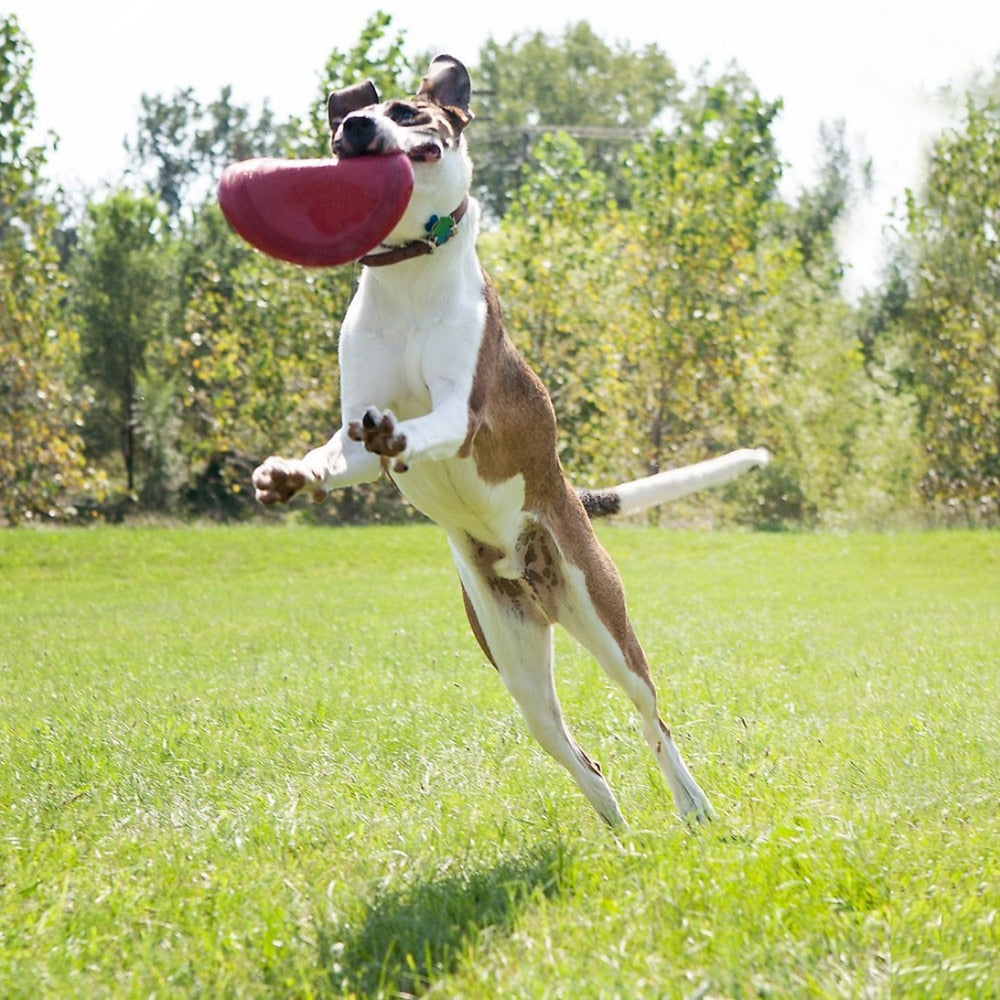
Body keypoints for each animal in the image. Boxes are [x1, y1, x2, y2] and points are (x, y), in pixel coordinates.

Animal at [251, 55, 769, 826]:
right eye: (354, 117)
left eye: (409, 113)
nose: (356, 125)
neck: (411, 277)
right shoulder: (351, 444)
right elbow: (337, 455)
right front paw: (288, 474)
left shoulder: (467, 416)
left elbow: (429, 426)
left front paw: (400, 432)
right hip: (516, 664)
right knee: (583, 759)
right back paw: (618, 830)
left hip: (606, 621)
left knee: (653, 721)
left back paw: (693, 806)